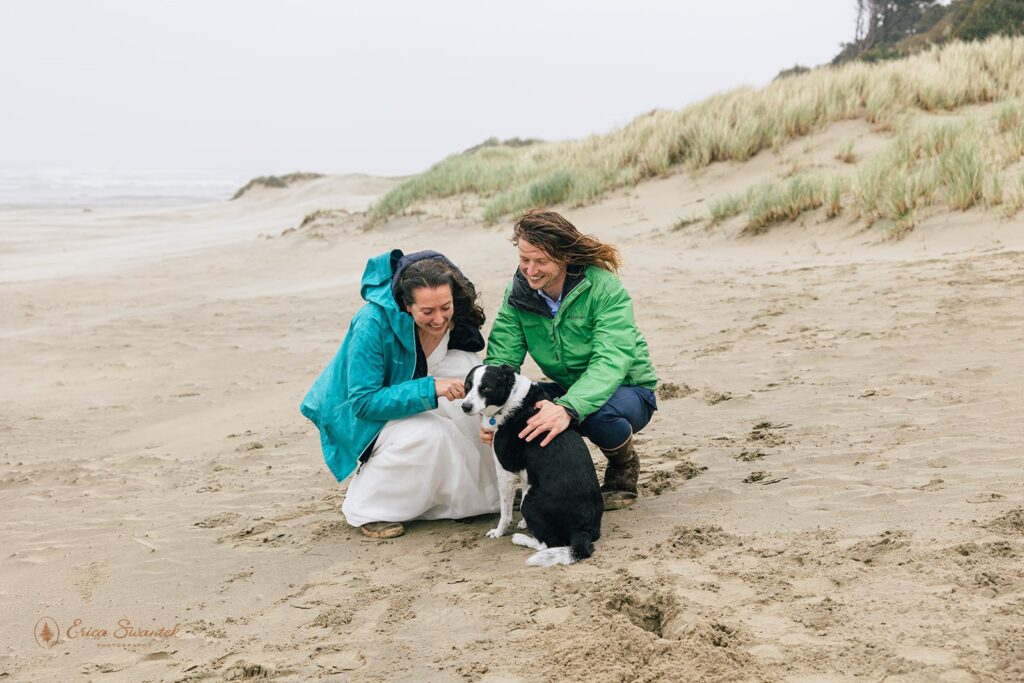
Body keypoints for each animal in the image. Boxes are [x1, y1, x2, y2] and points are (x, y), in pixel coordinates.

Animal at [462, 366, 602, 569]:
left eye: (486, 388)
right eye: (467, 385)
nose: (465, 406)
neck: (511, 399)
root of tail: (584, 530)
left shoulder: (505, 470)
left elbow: (504, 511)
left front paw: (499, 531)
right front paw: (523, 523)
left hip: (529, 502)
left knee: (547, 544)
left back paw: (520, 539)